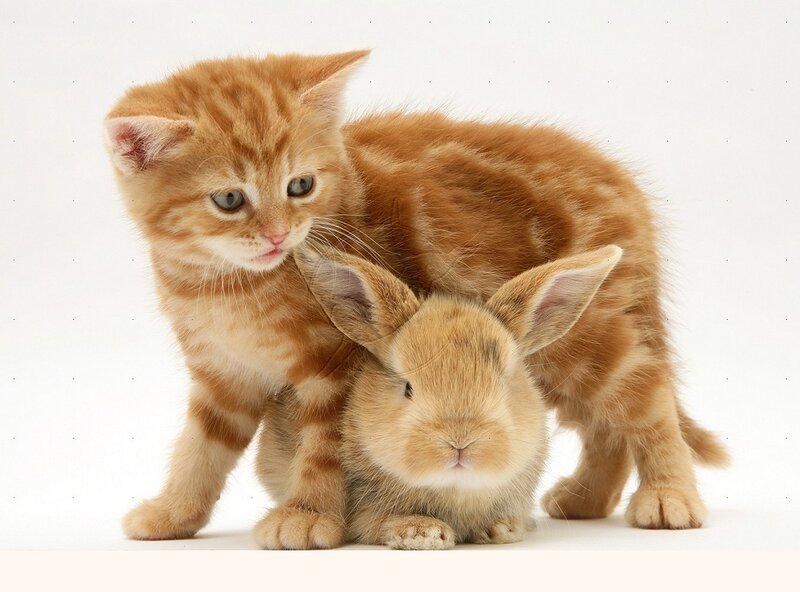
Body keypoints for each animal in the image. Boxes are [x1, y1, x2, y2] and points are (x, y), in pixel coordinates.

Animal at [257, 244, 622, 549]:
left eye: (505, 382)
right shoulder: (361, 509)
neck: (454, 489)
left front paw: (501, 529)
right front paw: (423, 533)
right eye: (407, 388)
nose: (460, 442)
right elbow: (374, 522)